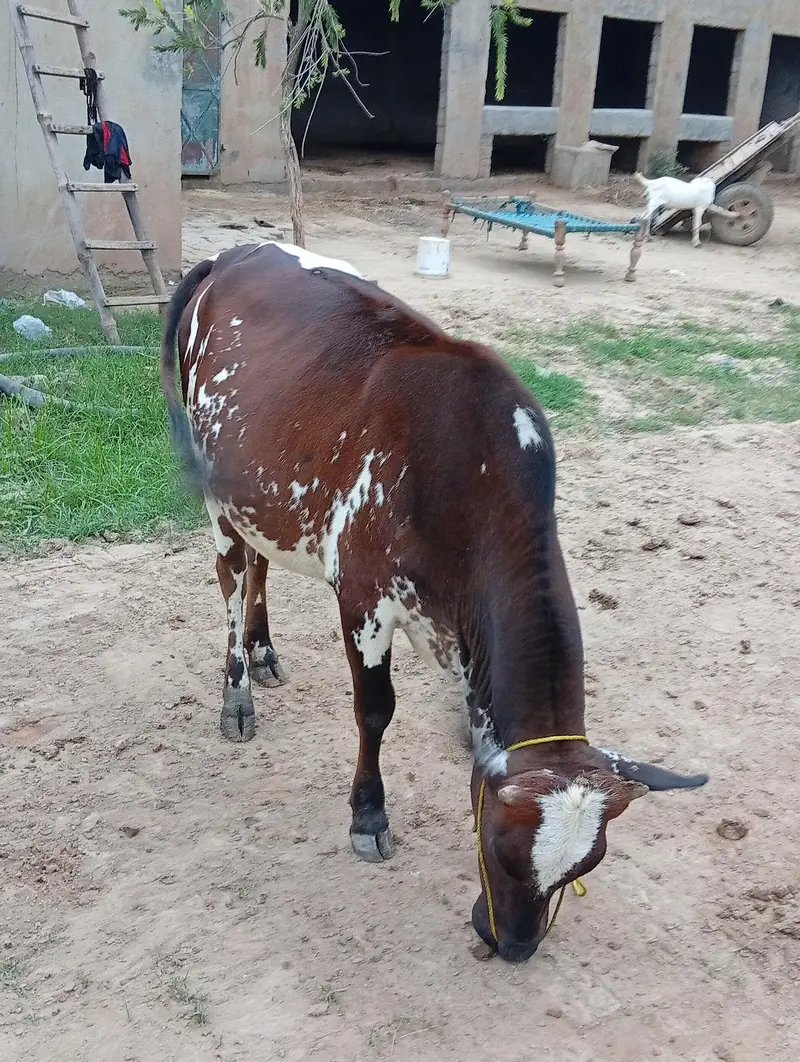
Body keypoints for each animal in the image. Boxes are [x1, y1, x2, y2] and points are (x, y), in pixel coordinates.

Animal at [161, 241, 708, 962]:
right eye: (499, 847)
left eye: (584, 866)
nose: (515, 947)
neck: (461, 476)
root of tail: (233, 253)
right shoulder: (363, 599)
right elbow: (375, 711)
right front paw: (368, 815)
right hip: (217, 498)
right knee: (229, 580)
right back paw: (238, 692)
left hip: (261, 494)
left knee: (259, 565)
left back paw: (264, 648)